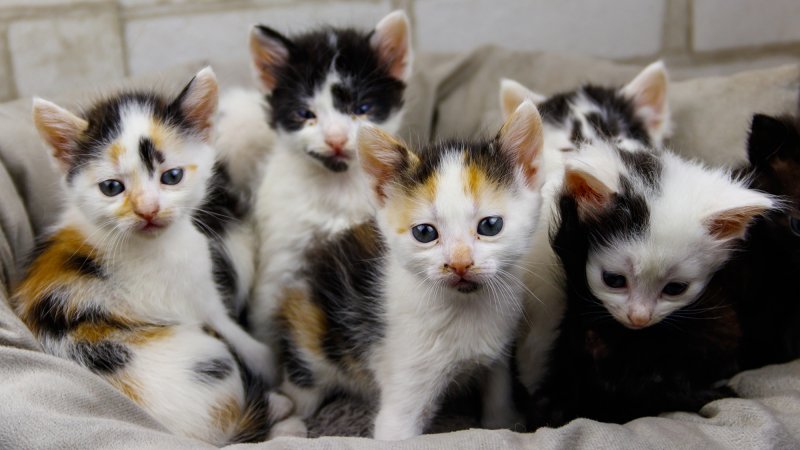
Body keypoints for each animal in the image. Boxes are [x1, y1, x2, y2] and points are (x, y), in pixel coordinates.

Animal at [14, 68, 290, 444]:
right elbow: (247, 345)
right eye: (112, 187)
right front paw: (276, 367)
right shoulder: (199, 304)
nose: (148, 210)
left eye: (171, 176)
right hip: (207, 359)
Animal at [276, 102, 544, 440]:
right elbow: (396, 429)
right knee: (301, 388)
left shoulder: (499, 349)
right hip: (310, 335)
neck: (465, 306)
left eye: (490, 226)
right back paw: (286, 424)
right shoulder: (405, 374)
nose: (460, 263)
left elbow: (498, 390)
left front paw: (505, 421)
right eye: (425, 233)